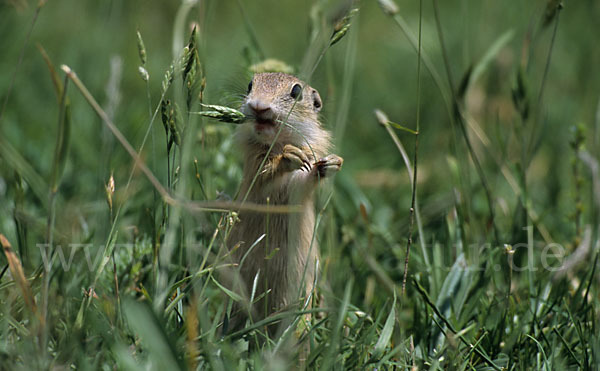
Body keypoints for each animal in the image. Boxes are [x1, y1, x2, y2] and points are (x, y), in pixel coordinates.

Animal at [227, 72, 342, 338]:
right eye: (250, 85)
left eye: (296, 91)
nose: (258, 106)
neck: (278, 141)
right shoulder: (255, 165)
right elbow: (266, 174)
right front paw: (290, 157)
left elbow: (304, 178)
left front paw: (331, 163)